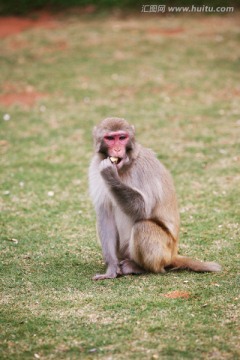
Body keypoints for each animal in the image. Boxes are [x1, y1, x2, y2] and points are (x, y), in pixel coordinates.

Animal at [89, 116, 222, 280]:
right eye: (110, 138)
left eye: (122, 137)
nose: (117, 149)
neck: (125, 166)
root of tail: (172, 254)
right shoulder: (95, 168)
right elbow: (105, 216)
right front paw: (111, 269)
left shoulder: (145, 167)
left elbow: (143, 209)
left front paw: (110, 175)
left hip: (164, 251)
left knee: (143, 227)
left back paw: (139, 267)